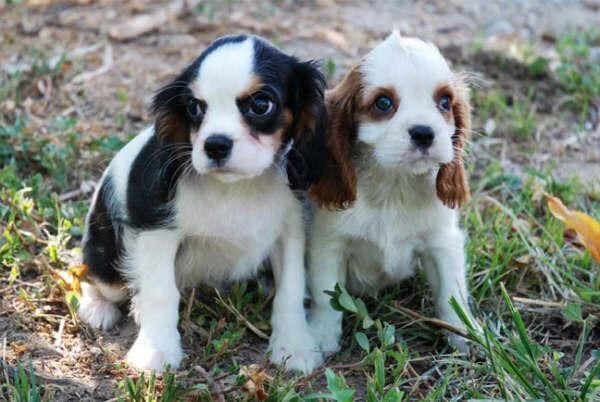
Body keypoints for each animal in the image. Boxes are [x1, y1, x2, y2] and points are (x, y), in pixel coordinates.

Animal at [308, 31, 476, 354]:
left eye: (445, 101)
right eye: (384, 103)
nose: (424, 132)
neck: (394, 184)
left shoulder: (442, 243)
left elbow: (452, 295)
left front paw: (466, 336)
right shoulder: (328, 245)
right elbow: (327, 299)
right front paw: (321, 338)